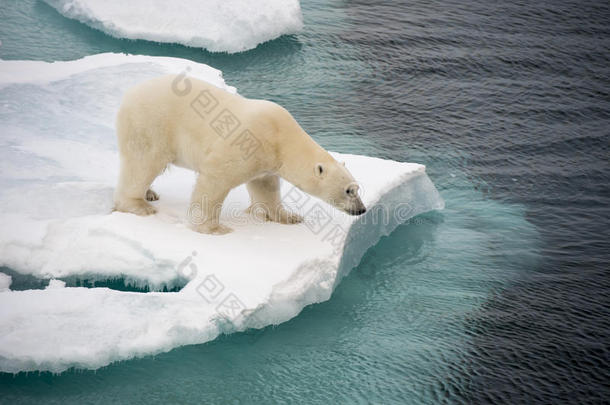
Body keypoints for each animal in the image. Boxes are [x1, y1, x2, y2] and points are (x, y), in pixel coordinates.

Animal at [112, 73, 364, 234]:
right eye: (348, 190)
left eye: (357, 188)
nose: (361, 209)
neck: (281, 136)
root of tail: (129, 93)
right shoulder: (249, 142)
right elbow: (215, 179)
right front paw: (213, 228)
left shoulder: (267, 160)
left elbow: (266, 188)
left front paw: (289, 217)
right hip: (151, 123)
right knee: (143, 161)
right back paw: (139, 205)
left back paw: (150, 193)